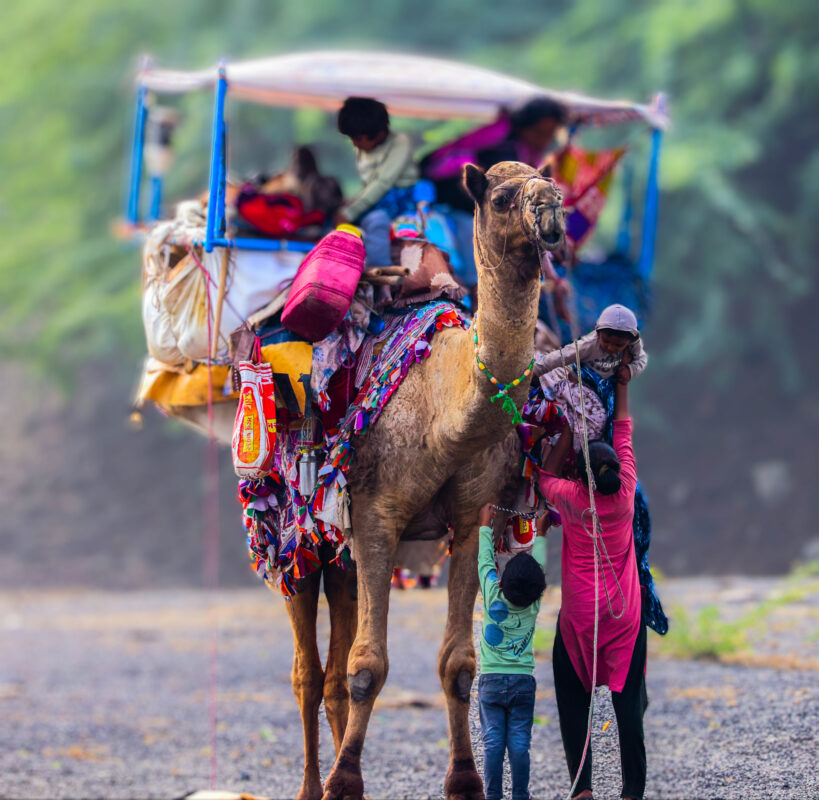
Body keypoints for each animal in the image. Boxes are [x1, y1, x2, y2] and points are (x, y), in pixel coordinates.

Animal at [171, 161, 565, 800]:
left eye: (551, 187)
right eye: (504, 197)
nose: (553, 213)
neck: (444, 404)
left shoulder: (469, 516)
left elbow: (456, 663)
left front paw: (463, 781)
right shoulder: (379, 515)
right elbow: (367, 667)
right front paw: (344, 782)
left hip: (340, 552)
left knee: (332, 663)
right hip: (290, 534)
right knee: (308, 670)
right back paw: (313, 785)